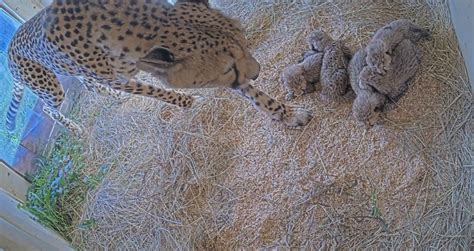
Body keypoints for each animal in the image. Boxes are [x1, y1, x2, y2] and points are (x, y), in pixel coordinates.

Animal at [6, 0, 312, 135]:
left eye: (246, 43)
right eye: (227, 69)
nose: (258, 72)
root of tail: (8, 49)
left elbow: (252, 94)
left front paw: (286, 114)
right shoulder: (124, 76)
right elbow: (155, 91)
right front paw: (187, 101)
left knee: (90, 83)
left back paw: (113, 97)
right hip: (50, 87)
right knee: (49, 108)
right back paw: (75, 127)